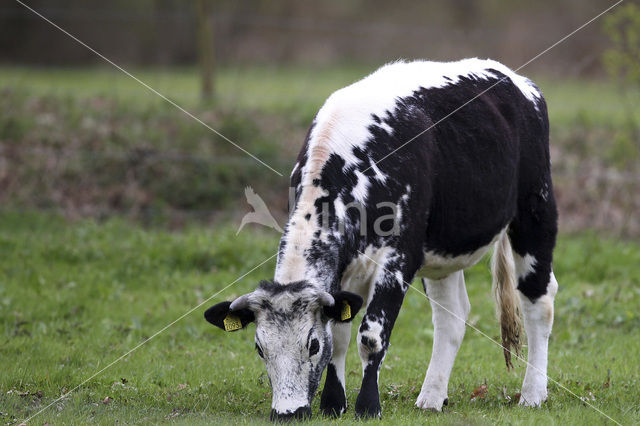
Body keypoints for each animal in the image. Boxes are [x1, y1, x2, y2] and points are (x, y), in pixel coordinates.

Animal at [204, 58, 556, 422]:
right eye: (260, 347)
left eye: (312, 344)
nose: (288, 413)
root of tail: (512, 77)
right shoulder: (343, 271)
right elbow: (340, 336)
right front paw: (333, 403)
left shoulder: (399, 259)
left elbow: (370, 336)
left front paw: (367, 406)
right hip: (443, 252)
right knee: (452, 316)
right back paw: (432, 397)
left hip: (536, 209)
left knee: (539, 301)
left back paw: (532, 394)